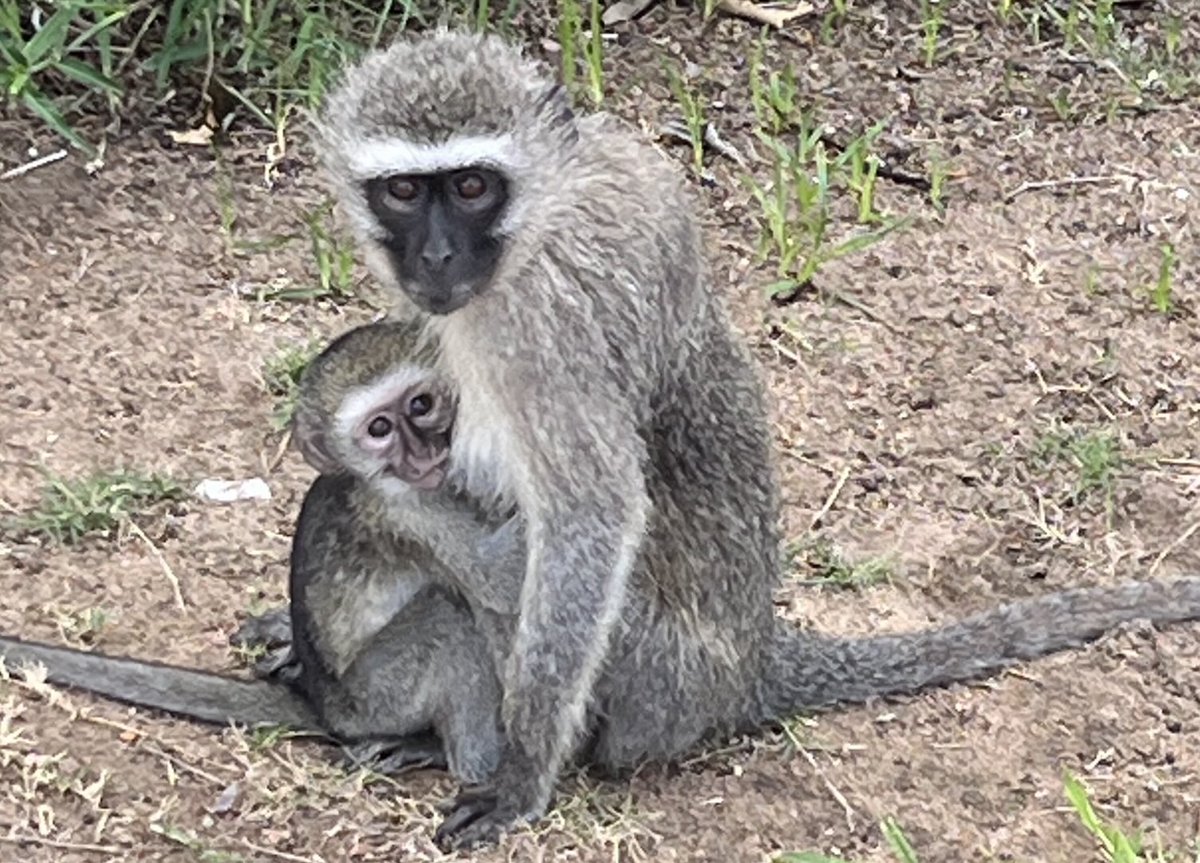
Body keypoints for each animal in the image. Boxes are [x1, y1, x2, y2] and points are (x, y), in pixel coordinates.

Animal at [0, 318, 525, 784]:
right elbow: (500, 581)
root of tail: (320, 702)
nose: (423, 451)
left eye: (421, 405)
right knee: (450, 615)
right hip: (377, 699)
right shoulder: (410, 511)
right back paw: (469, 763)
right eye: (379, 428)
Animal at [314, 29, 1200, 851]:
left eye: (471, 185)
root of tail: (748, 666)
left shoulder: (546, 332)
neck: (542, 217)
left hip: (648, 680)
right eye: (403, 191)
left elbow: (589, 518)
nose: (436, 256)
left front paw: (523, 771)